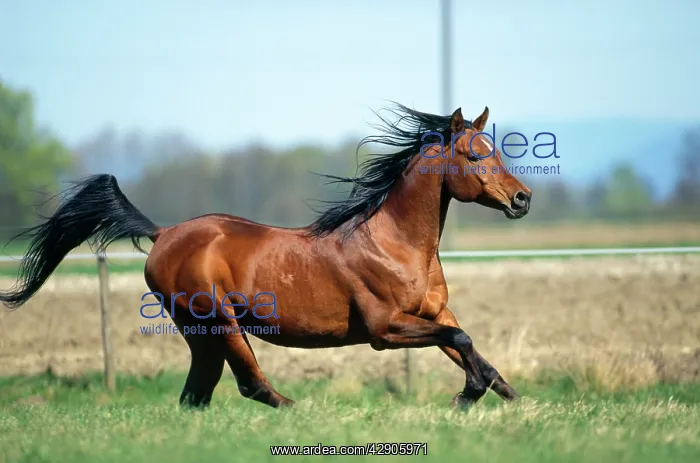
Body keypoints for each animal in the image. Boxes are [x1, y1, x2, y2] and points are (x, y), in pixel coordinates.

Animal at [0, 103, 531, 409]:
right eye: (475, 155)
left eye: (496, 149)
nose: (522, 199)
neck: (394, 244)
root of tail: (163, 233)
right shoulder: (385, 329)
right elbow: (462, 341)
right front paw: (467, 396)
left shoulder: (433, 313)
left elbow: (467, 345)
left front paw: (507, 396)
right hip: (218, 322)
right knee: (248, 384)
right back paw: (303, 413)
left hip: (202, 334)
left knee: (197, 391)